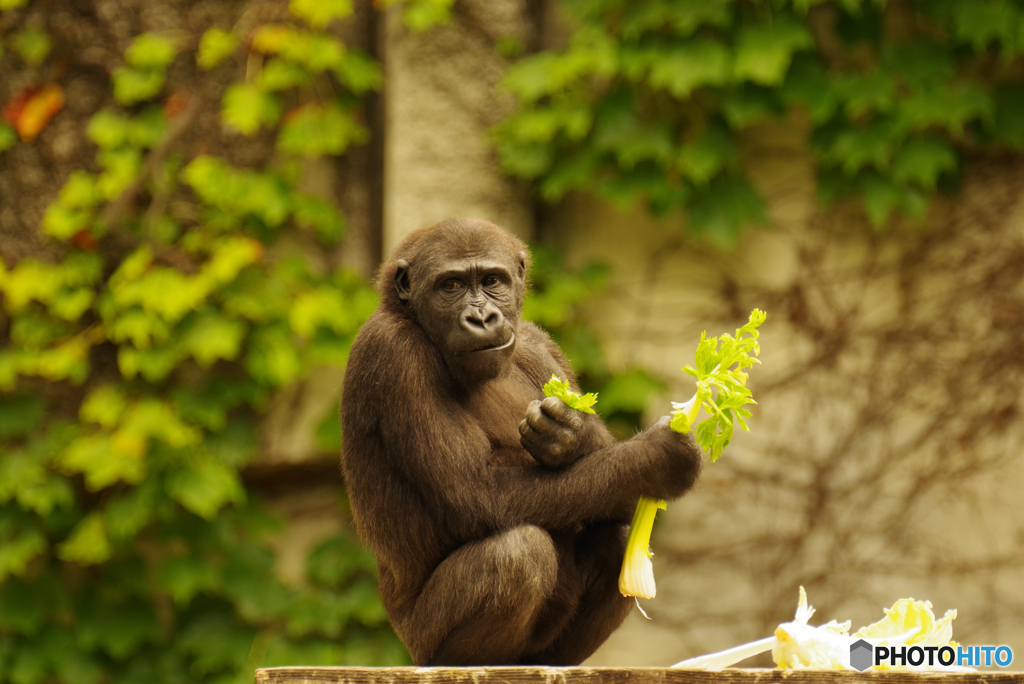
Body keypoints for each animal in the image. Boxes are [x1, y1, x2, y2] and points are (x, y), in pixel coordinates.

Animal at [344, 218, 704, 663]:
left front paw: (567, 434)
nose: (482, 318)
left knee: (617, 541)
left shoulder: (538, 342)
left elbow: (621, 496)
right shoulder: (394, 354)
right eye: (451, 286)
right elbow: (476, 492)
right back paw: (464, 664)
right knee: (518, 553)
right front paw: (657, 457)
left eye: (492, 280)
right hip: (420, 643)